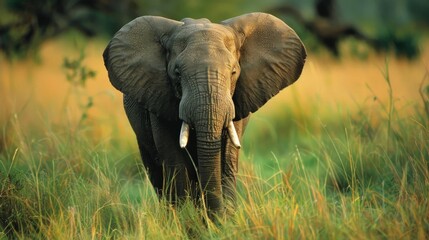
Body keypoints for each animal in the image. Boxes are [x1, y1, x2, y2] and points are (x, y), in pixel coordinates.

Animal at [103, 12, 304, 218]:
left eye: (233, 72)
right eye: (177, 73)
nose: (217, 218)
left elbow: (227, 160)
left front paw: (224, 220)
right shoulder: (158, 97)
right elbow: (175, 161)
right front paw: (184, 219)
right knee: (156, 171)